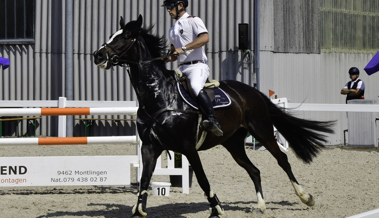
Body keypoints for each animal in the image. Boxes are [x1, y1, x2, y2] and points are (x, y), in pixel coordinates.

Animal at [94, 14, 336, 217]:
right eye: (112, 34)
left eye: (126, 36)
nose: (98, 55)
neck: (160, 96)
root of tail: (251, 91)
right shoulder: (149, 147)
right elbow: (144, 181)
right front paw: (139, 210)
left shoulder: (188, 148)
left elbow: (202, 178)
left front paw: (216, 208)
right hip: (233, 143)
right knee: (254, 170)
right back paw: (261, 205)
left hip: (263, 132)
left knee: (282, 160)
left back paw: (306, 197)